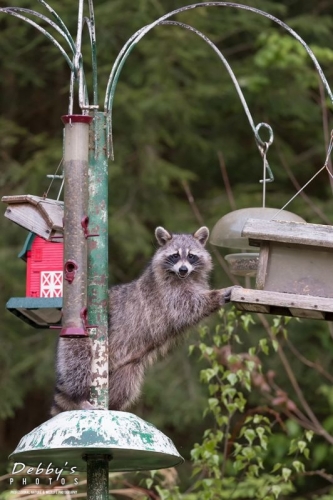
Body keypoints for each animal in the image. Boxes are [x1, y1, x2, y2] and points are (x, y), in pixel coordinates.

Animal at [50, 227, 235, 414]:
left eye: (191, 256)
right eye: (175, 255)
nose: (183, 269)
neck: (184, 278)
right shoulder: (166, 295)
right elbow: (188, 305)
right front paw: (217, 295)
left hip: (127, 366)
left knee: (125, 385)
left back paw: (114, 406)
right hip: (79, 333)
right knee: (78, 358)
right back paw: (79, 396)